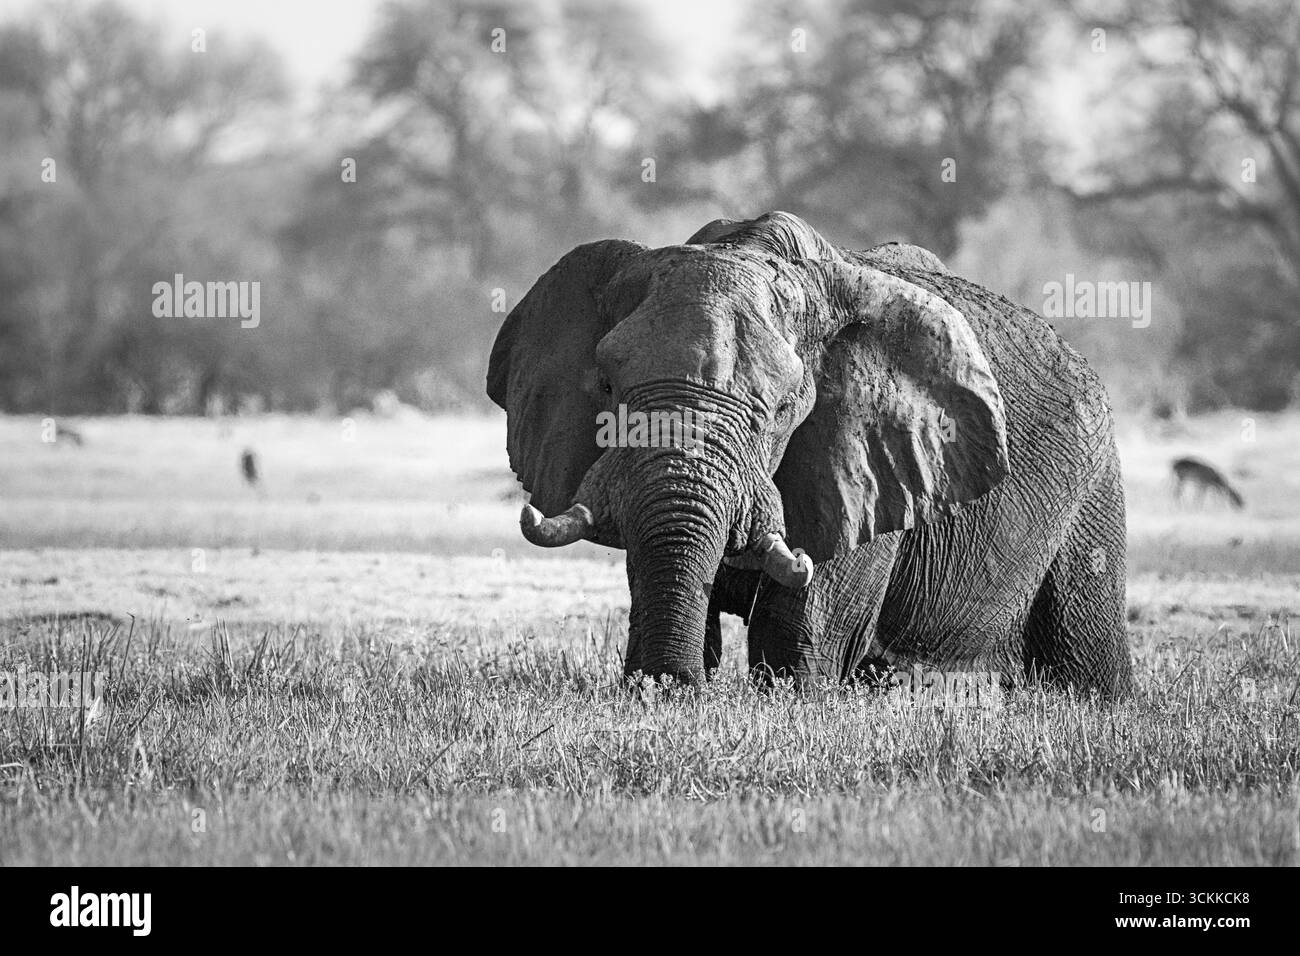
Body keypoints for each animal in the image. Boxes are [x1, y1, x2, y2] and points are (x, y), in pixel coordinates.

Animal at [488, 211, 1132, 696]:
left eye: (778, 411)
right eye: (607, 389)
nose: (674, 689)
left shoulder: (865, 464)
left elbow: (797, 624)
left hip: (1093, 486)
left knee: (1085, 651)